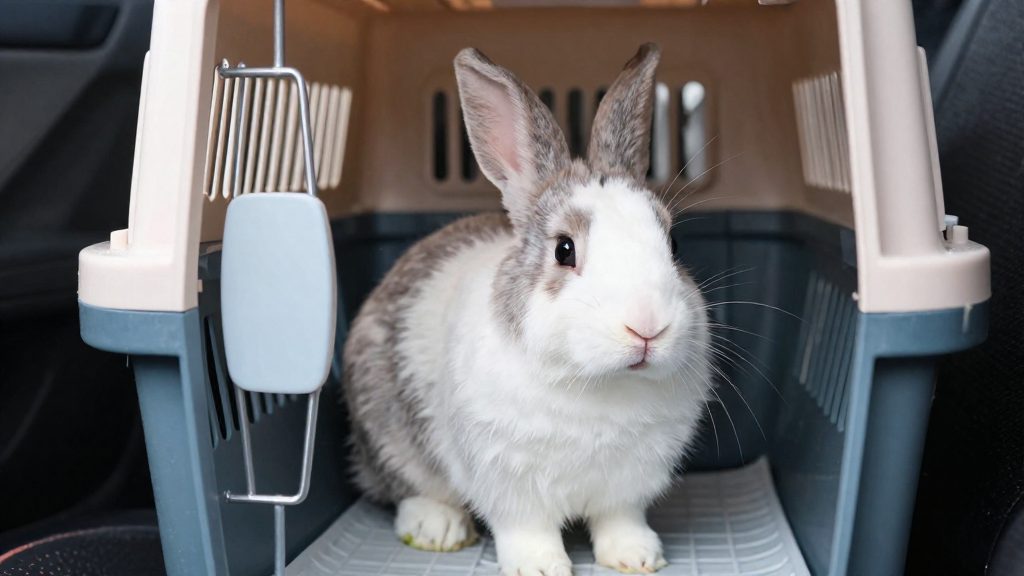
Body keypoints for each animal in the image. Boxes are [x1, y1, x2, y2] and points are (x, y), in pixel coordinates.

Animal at [342, 43, 713, 576]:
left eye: (674, 244)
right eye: (564, 249)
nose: (647, 327)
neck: (598, 384)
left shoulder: (627, 487)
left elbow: (619, 521)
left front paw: (639, 556)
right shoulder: (508, 484)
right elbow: (526, 530)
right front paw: (540, 567)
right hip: (386, 429)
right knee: (404, 488)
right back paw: (437, 528)